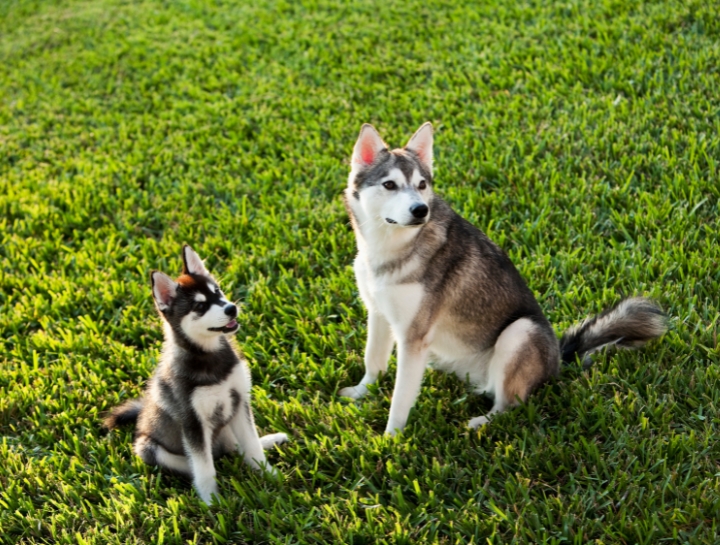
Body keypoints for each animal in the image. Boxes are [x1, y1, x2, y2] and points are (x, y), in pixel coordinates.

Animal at [105, 244, 286, 504]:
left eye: (217, 291)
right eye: (199, 306)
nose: (231, 308)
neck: (209, 356)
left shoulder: (239, 401)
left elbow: (251, 445)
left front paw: (268, 474)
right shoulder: (192, 422)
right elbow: (204, 466)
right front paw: (212, 501)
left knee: (234, 447)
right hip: (147, 447)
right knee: (200, 461)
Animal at [340, 123, 668, 434]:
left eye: (421, 185)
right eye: (389, 185)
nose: (421, 210)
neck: (390, 247)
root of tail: (558, 360)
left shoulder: (413, 337)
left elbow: (400, 396)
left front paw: (391, 438)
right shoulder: (378, 313)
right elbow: (374, 360)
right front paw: (362, 391)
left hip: (520, 332)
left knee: (511, 404)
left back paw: (482, 421)